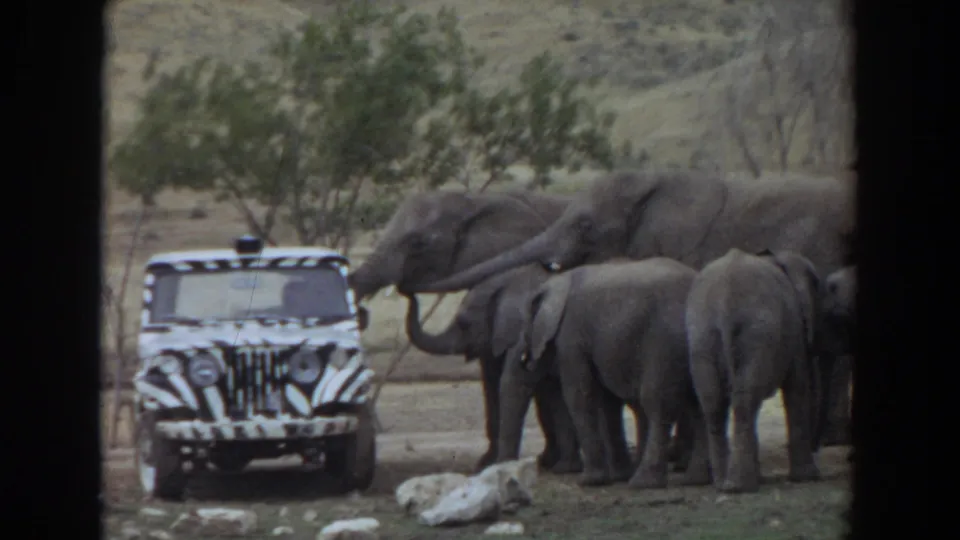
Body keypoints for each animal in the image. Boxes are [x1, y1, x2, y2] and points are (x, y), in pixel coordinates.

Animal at [501, 257, 711, 489]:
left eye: (526, 329)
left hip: (665, 341)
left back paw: (643, 483)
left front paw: (589, 481)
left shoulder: (572, 336)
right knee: (698, 402)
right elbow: (607, 402)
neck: (555, 282)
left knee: (657, 403)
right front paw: (618, 476)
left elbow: (580, 395)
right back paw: (695, 480)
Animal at [685, 248, 823, 493]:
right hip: (759, 332)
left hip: (701, 336)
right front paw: (808, 477)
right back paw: (741, 486)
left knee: (714, 404)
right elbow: (797, 388)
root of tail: (725, 299)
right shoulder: (794, 329)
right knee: (745, 401)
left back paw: (724, 484)